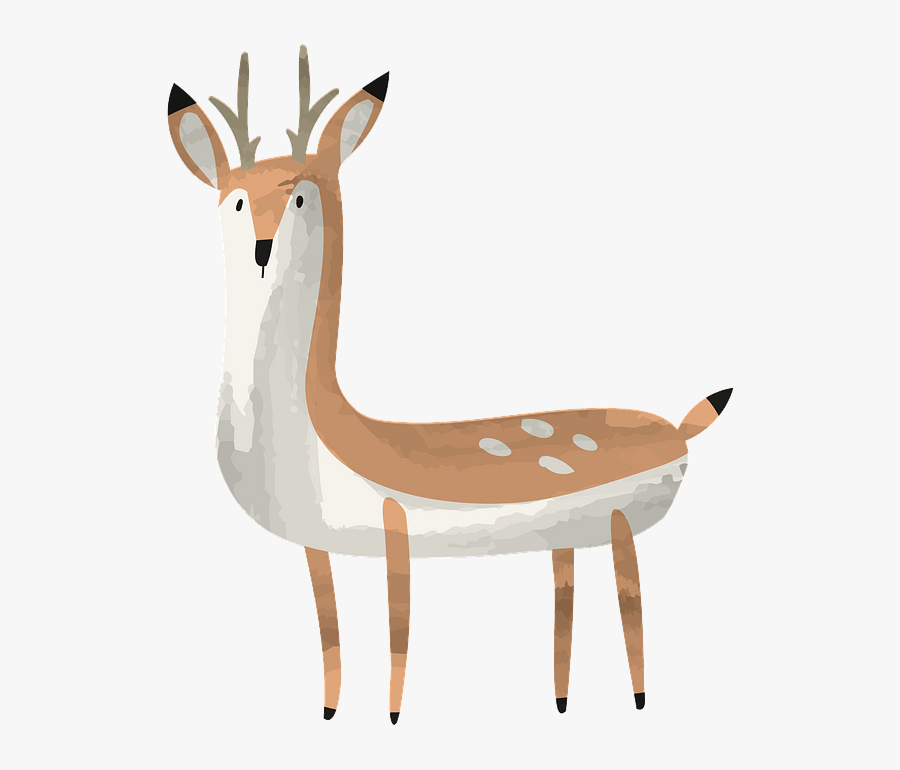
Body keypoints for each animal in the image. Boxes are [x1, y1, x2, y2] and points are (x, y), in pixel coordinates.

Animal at [167, 46, 733, 724]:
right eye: (235, 202)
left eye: (300, 197)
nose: (261, 248)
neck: (313, 445)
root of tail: (678, 430)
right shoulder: (315, 545)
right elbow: (330, 630)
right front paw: (329, 710)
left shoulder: (394, 529)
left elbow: (398, 632)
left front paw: (390, 715)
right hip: (571, 537)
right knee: (566, 597)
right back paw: (561, 700)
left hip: (620, 526)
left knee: (632, 602)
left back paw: (640, 699)